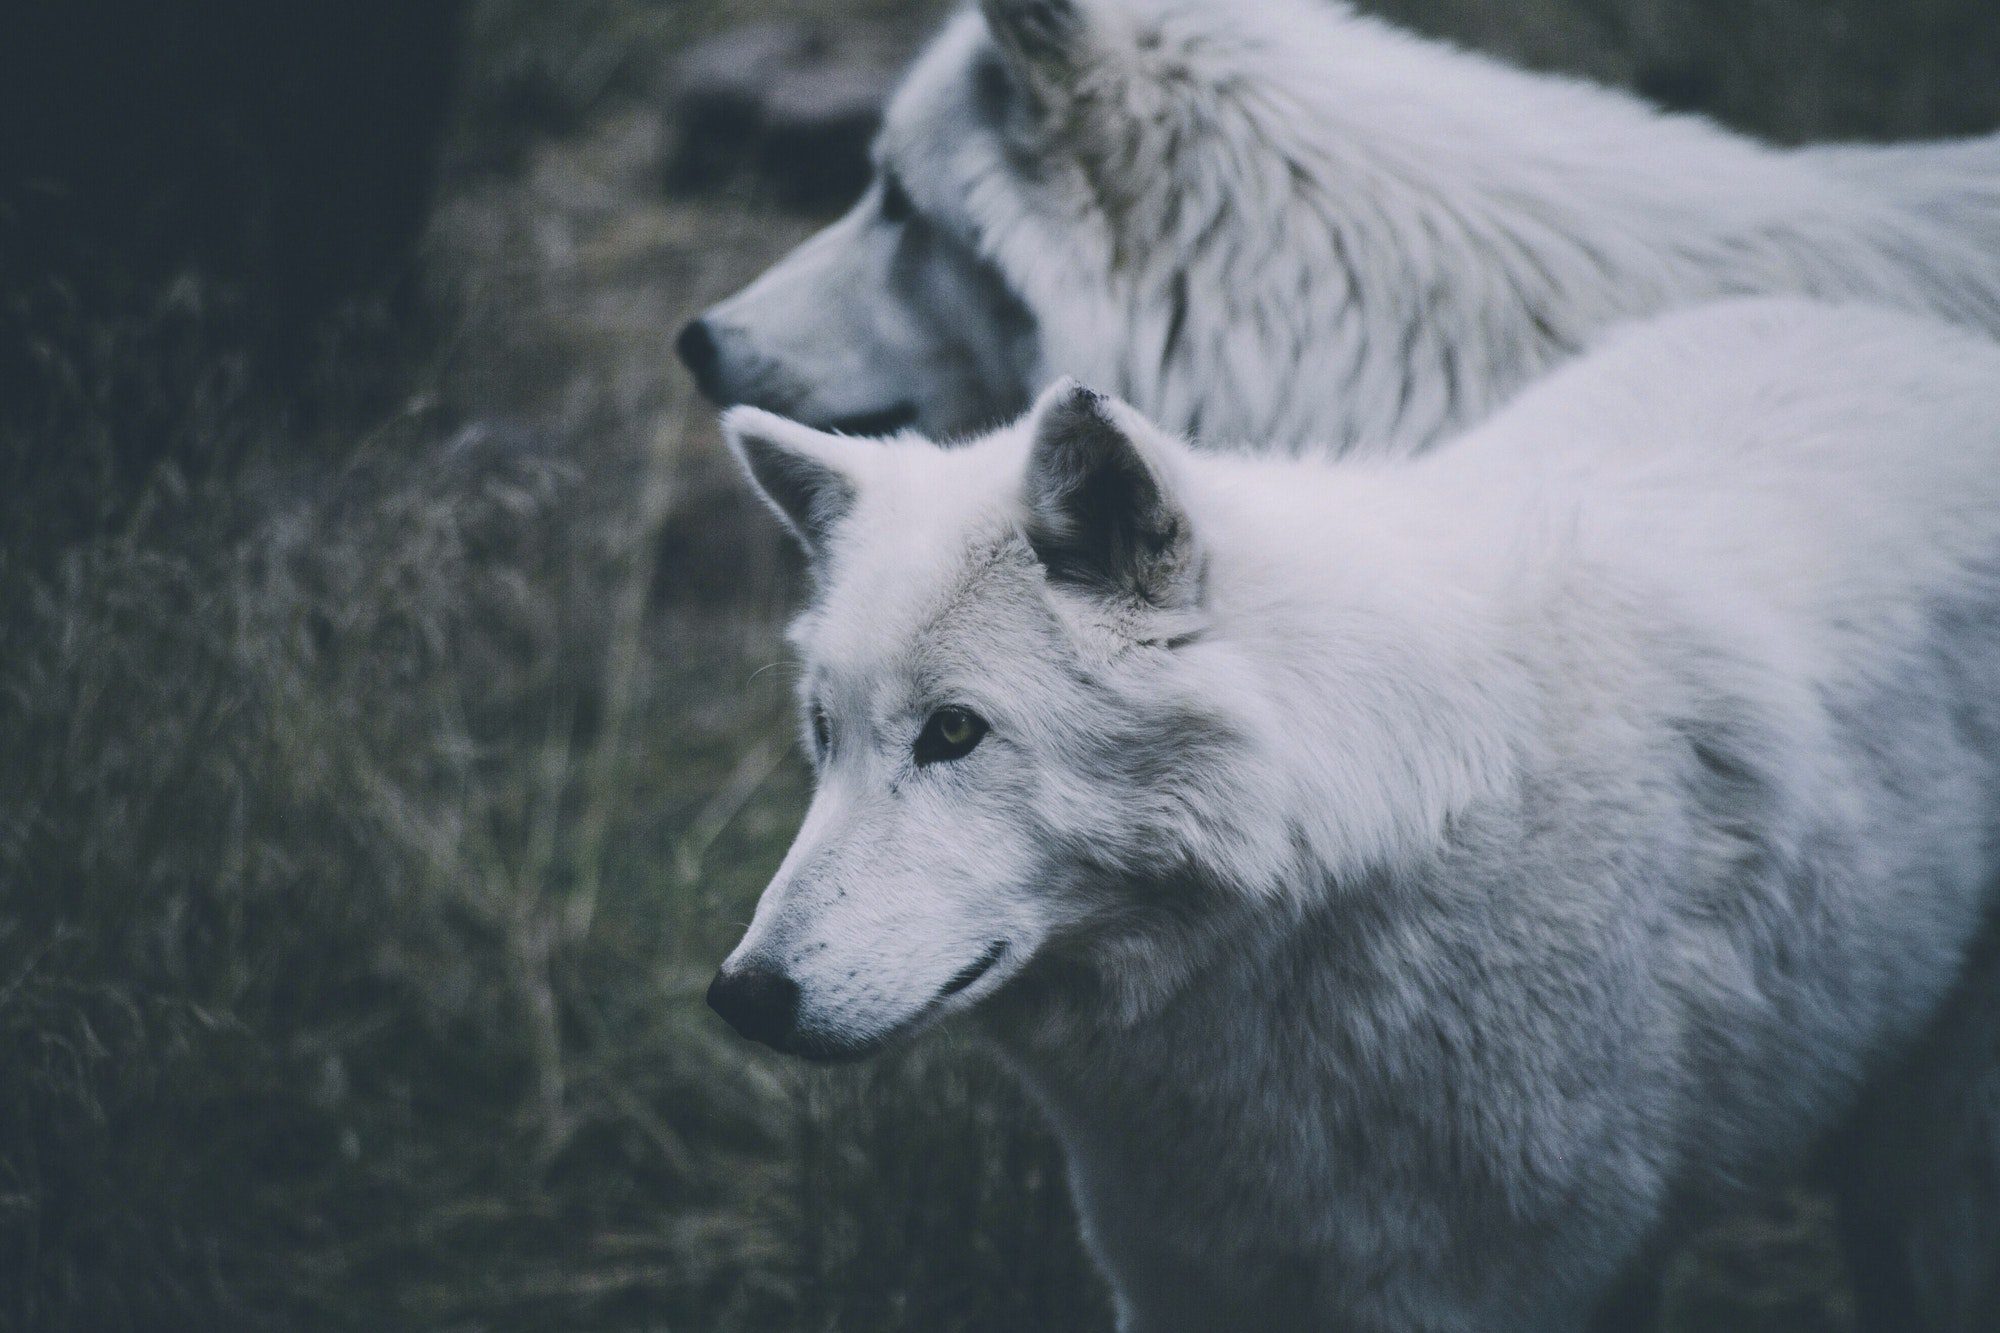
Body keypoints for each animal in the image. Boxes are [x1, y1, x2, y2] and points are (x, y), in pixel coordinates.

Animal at [716, 300, 2000, 1328]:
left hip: (1930, 1175)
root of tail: (1925, 337)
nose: (740, 996)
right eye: (826, 733)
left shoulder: (1472, 1291)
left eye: (952, 732)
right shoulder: (1177, 1275)